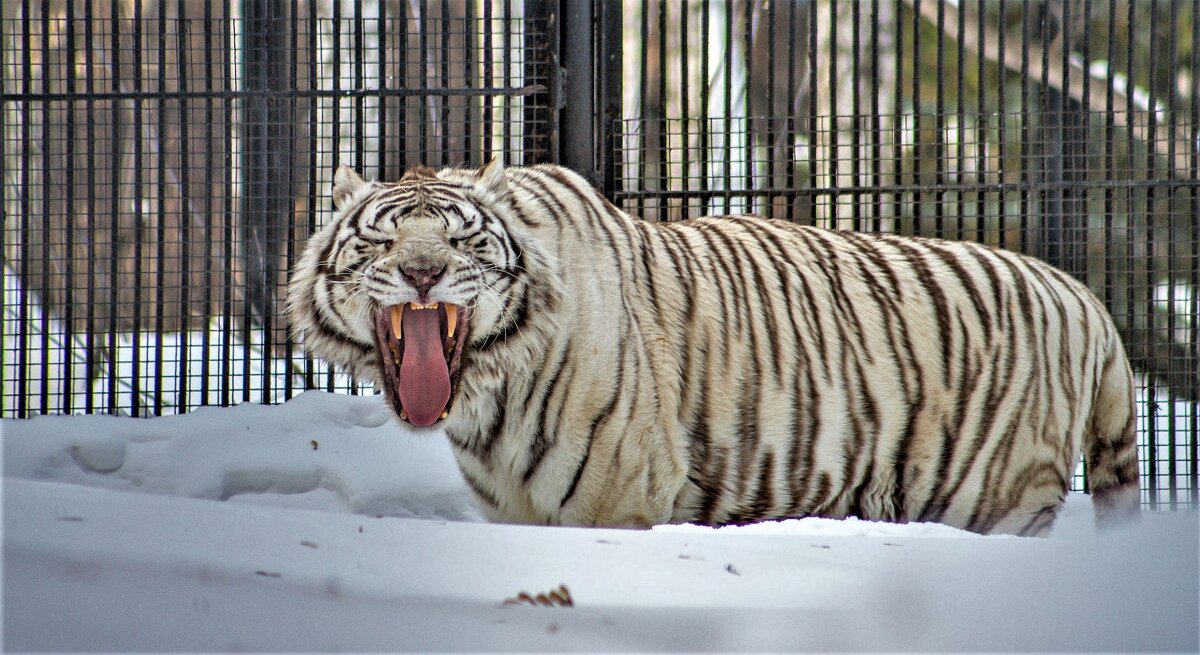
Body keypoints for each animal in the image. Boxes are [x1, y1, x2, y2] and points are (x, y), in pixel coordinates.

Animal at [285, 158, 1137, 535]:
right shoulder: (515, 511)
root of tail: (1086, 298)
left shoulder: (618, 497)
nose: (423, 272)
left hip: (997, 494)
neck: (485, 401)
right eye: (383, 239)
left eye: (462, 243)